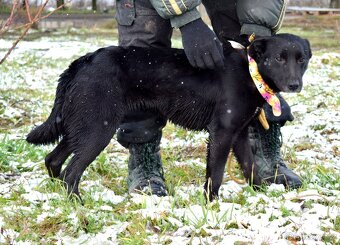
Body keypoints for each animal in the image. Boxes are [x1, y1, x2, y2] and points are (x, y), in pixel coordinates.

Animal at [26, 33, 310, 200]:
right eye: (279, 59)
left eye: (301, 59)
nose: (295, 85)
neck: (251, 71)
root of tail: (81, 62)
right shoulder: (221, 132)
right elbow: (215, 174)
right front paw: (212, 204)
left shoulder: (238, 134)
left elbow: (250, 167)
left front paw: (261, 195)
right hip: (98, 129)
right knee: (71, 172)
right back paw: (78, 205)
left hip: (82, 125)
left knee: (53, 160)